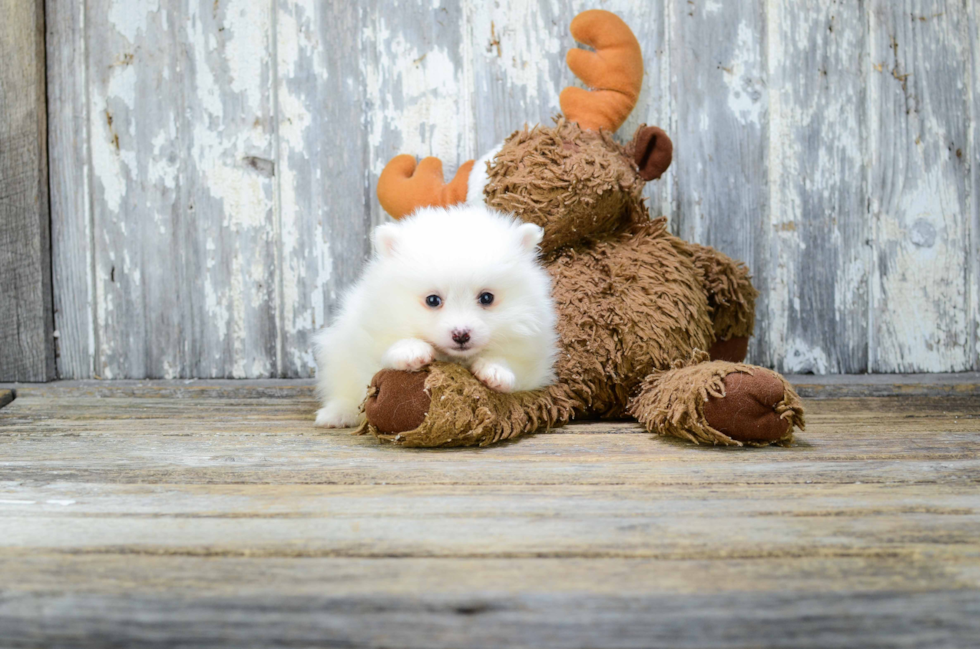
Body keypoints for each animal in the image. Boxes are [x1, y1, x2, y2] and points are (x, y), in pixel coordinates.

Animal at [316, 205, 560, 428]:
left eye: (486, 298)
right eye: (432, 300)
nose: (461, 335)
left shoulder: (532, 354)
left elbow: (513, 363)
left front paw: (495, 370)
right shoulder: (373, 330)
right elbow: (386, 350)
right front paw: (411, 350)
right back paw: (336, 414)